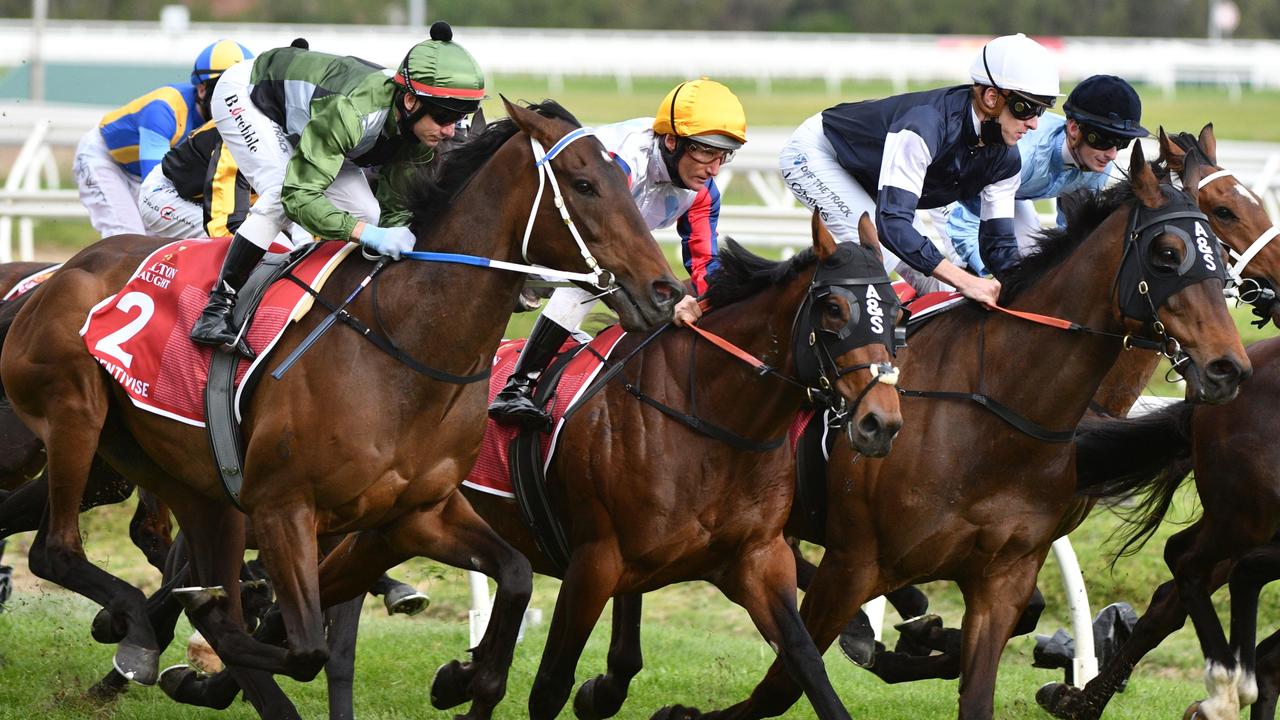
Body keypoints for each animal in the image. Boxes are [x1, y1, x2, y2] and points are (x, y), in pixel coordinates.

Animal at [0, 98, 686, 712]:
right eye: (584, 184)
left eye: (629, 188)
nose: (665, 291)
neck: (402, 345)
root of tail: (65, 268)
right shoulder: (283, 506)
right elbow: (307, 648)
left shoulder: (416, 512)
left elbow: (514, 577)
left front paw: (465, 675)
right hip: (76, 414)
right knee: (55, 549)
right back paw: (136, 625)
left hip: (178, 480)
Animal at [450, 213, 901, 717]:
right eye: (834, 309)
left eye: (897, 314)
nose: (881, 423)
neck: (706, 422)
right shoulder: (595, 562)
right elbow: (550, 683)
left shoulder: (757, 558)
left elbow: (805, 664)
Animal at [691, 140, 1249, 717]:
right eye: (1168, 252)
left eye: (1216, 245)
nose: (1228, 368)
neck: (989, 416)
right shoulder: (851, 563)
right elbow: (785, 679)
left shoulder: (1003, 575)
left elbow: (987, 671)